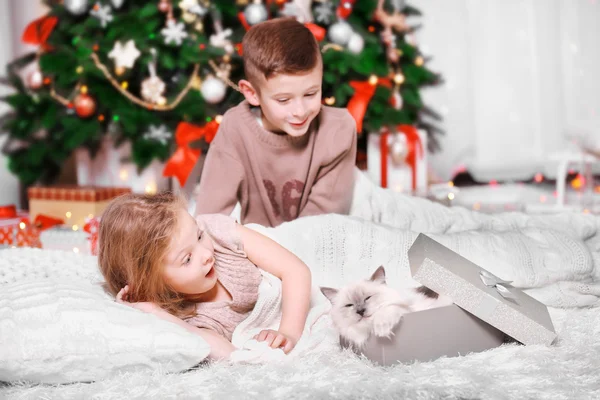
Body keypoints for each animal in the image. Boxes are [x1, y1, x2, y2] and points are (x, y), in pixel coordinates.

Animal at [322, 268, 452, 348]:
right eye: (349, 305)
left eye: (368, 298)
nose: (360, 311)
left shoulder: (407, 309)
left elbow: (388, 310)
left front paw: (381, 330)